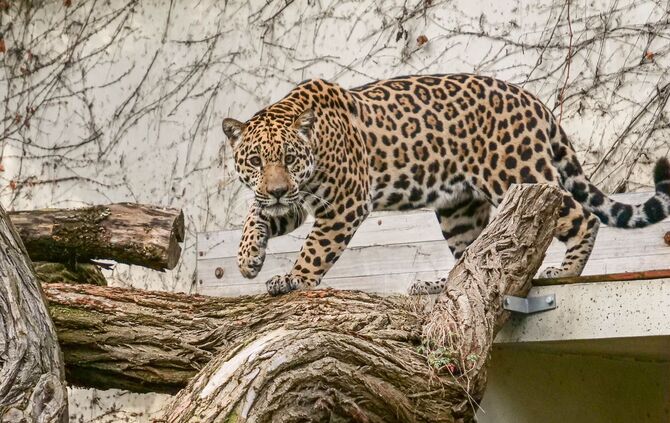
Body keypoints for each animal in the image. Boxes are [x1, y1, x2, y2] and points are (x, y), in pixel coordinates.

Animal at [222, 74, 670, 296]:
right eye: (256, 160)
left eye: (290, 158)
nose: (278, 189)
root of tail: (535, 100)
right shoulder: (296, 200)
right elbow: (255, 216)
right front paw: (248, 259)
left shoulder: (345, 203)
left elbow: (316, 248)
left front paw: (295, 278)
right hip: (459, 208)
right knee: (469, 252)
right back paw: (436, 284)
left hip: (519, 172)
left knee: (582, 217)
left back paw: (566, 271)